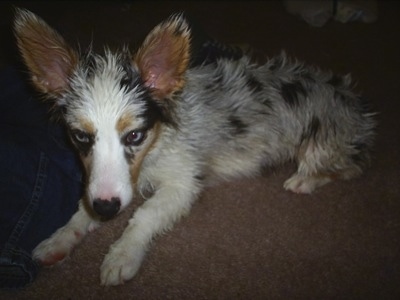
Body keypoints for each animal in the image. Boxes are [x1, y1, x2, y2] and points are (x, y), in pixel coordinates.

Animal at [12, 8, 376, 286]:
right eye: (80, 137)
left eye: (134, 136)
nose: (106, 209)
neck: (157, 144)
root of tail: (353, 101)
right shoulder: (101, 188)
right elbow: (81, 210)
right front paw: (60, 239)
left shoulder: (182, 184)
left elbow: (144, 215)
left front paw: (123, 254)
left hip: (320, 146)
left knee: (351, 168)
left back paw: (304, 180)